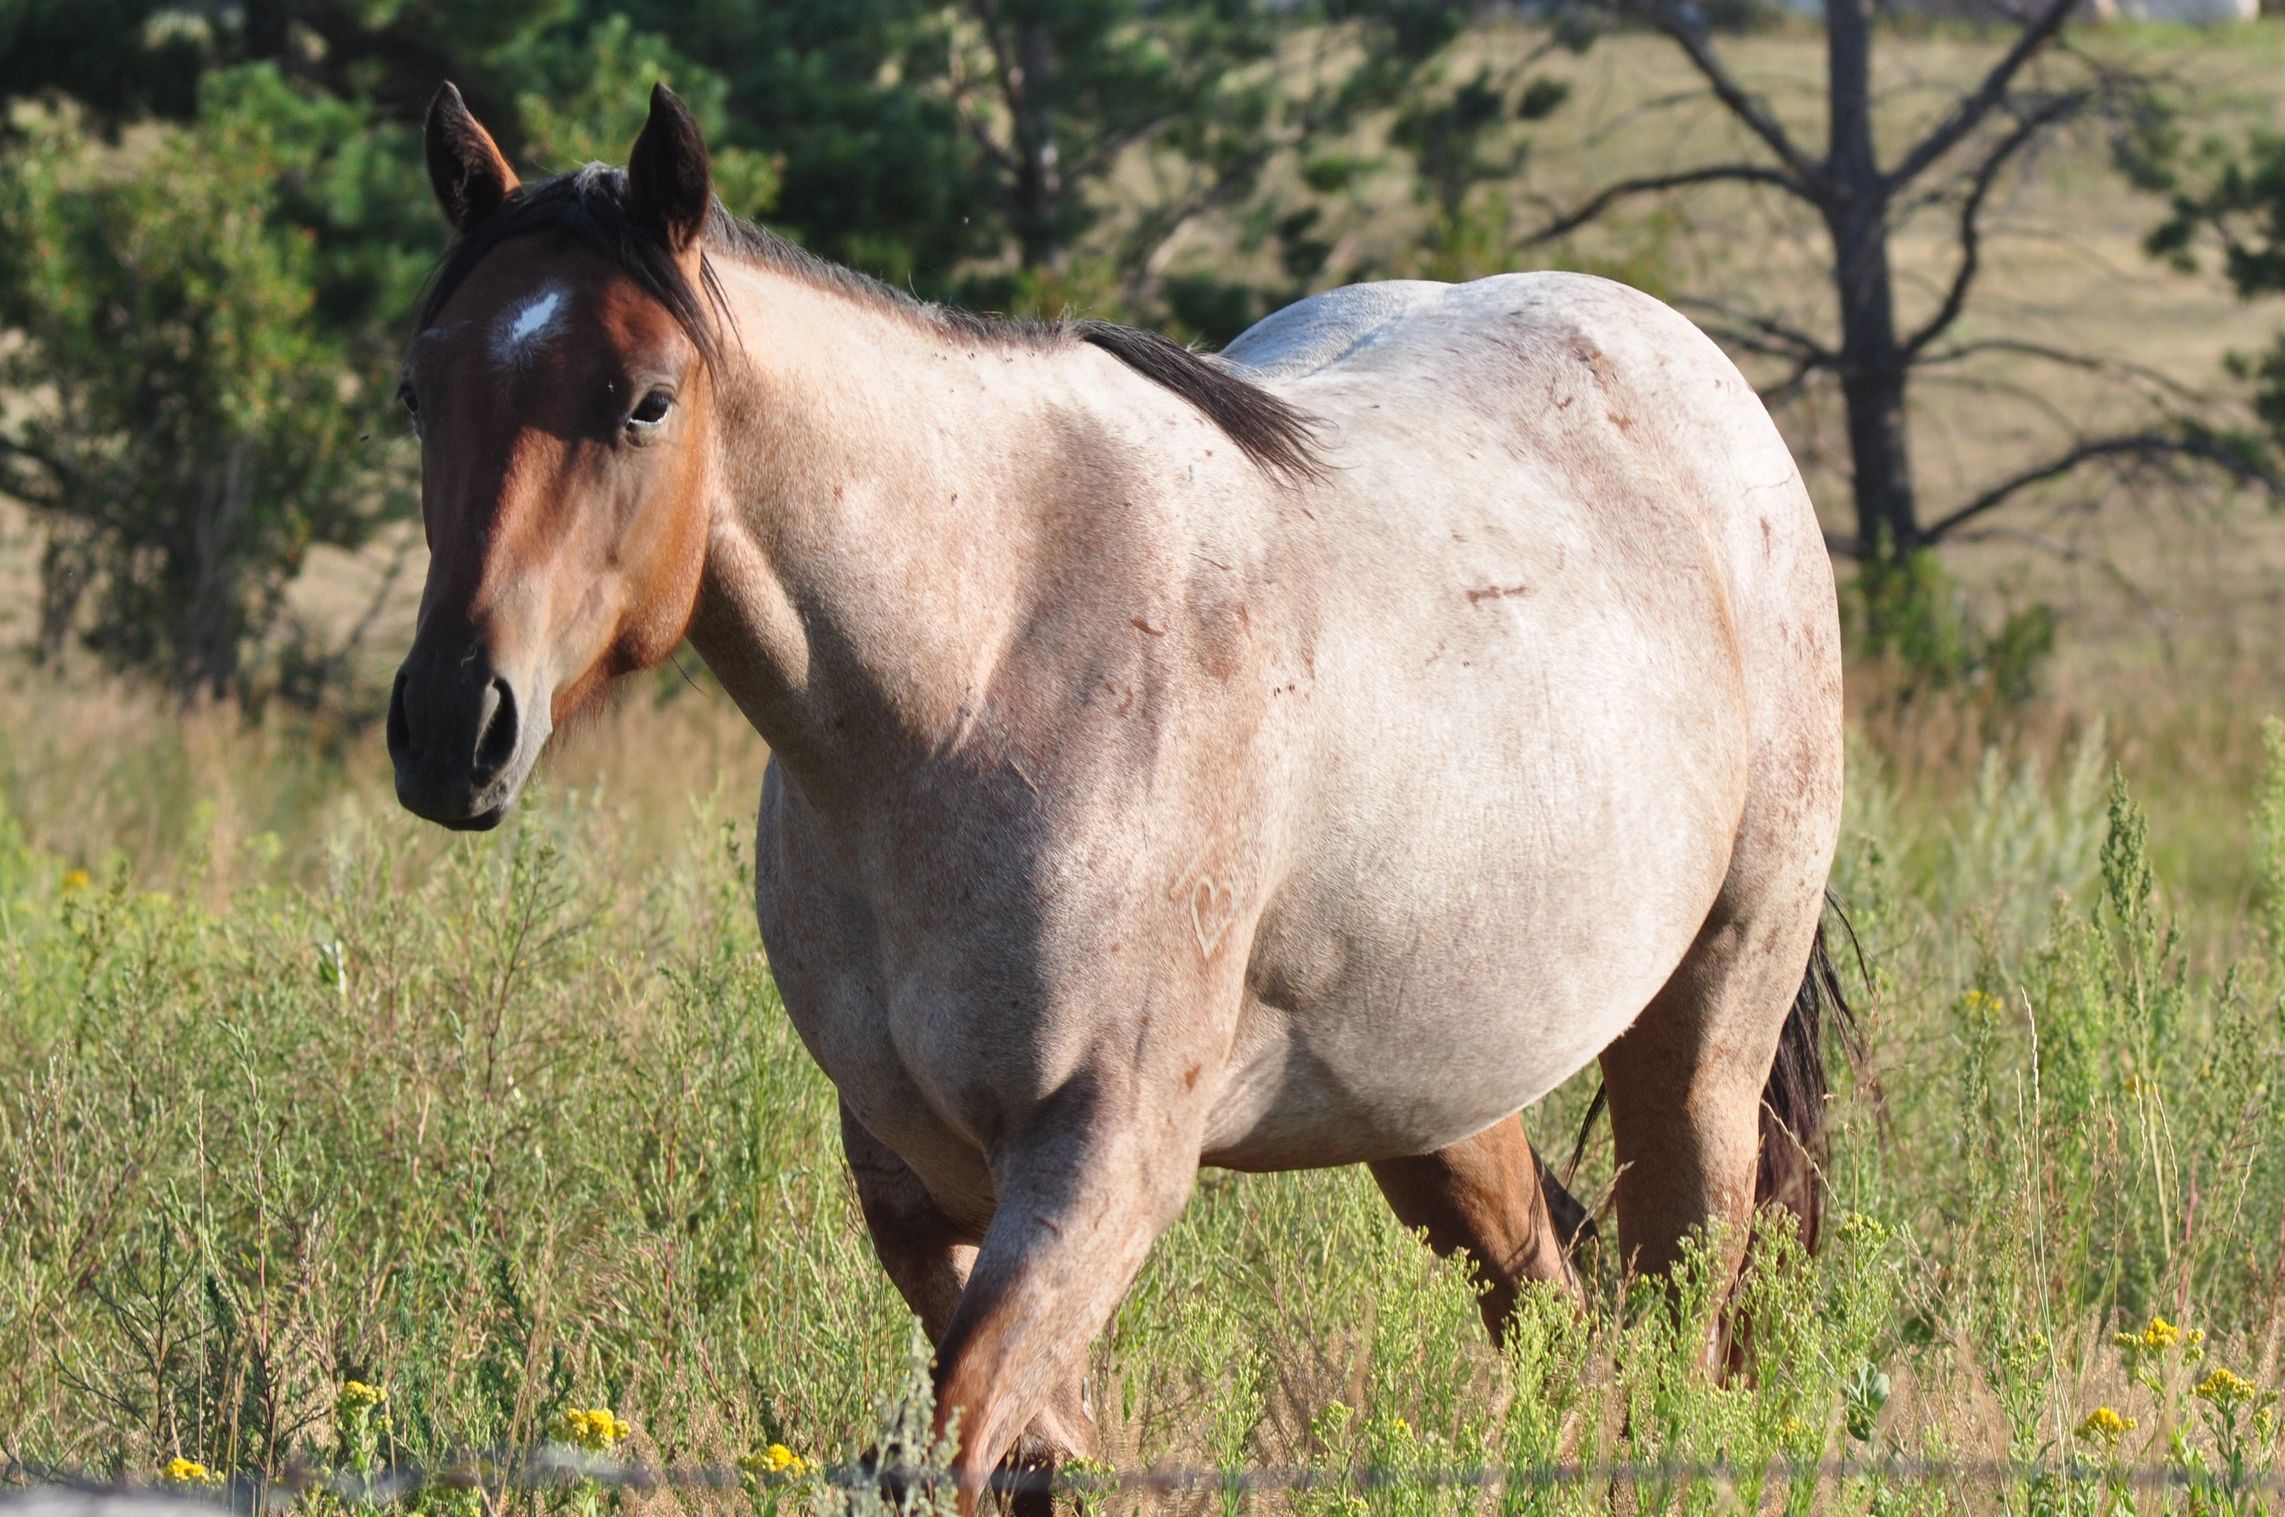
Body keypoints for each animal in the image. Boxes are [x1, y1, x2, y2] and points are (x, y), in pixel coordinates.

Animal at [389, 82, 1851, 1512]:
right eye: (418, 390)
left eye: (644, 400)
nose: (453, 726)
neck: (976, 677)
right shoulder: (914, 1179)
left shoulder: (1098, 1164)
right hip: (1440, 1096)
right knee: (1558, 1324)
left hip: (1702, 1042)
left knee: (1675, 1324)